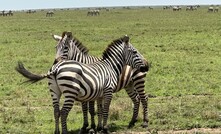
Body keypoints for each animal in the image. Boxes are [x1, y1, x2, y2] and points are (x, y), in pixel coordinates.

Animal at [16, 32, 148, 134]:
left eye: (65, 48)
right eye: (135, 52)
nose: (146, 66)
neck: (110, 65)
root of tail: (56, 68)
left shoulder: (96, 93)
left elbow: (98, 110)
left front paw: (97, 128)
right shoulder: (107, 91)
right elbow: (102, 109)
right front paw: (101, 128)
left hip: (55, 92)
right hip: (71, 92)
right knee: (63, 112)